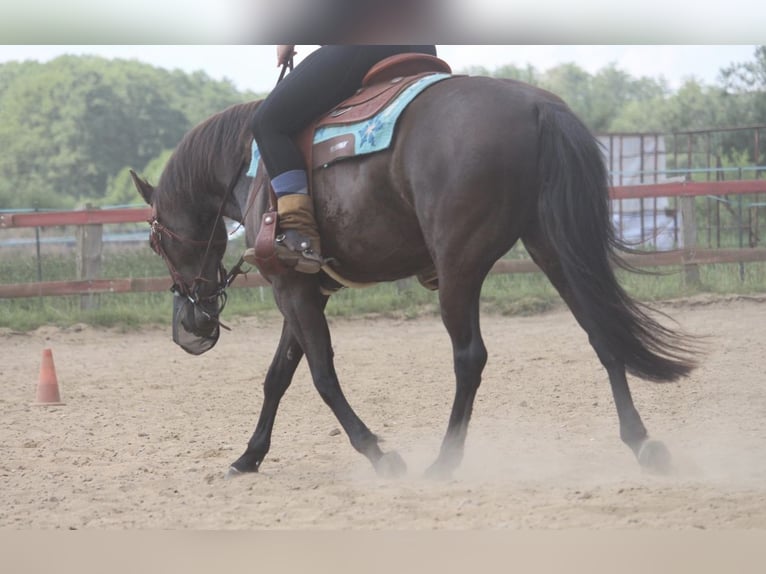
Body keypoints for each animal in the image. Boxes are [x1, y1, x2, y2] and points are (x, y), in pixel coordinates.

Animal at [134, 74, 704, 480]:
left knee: (470, 357)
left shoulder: (291, 289)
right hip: (554, 249)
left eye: (156, 241)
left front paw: (378, 454)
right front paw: (248, 457)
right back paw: (642, 443)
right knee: (601, 333)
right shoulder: (305, 289)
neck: (249, 166)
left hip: (459, 267)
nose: (192, 324)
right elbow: (279, 375)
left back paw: (444, 460)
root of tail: (537, 107)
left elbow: (320, 376)